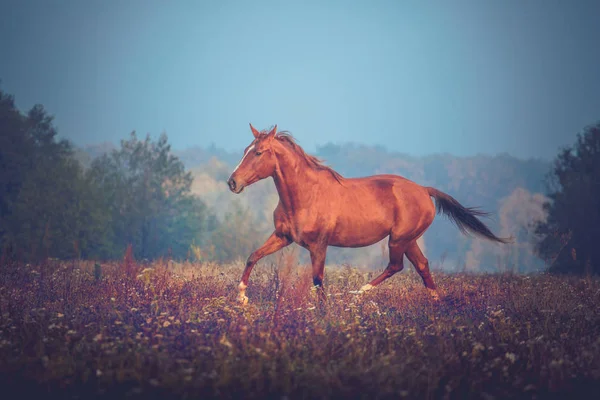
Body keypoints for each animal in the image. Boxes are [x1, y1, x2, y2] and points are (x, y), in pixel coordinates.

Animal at [227, 124, 508, 304]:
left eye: (258, 152)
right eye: (245, 150)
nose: (232, 182)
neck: (305, 196)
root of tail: (424, 190)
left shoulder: (318, 246)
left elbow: (318, 281)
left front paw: (323, 311)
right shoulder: (282, 237)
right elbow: (253, 256)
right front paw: (241, 297)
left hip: (398, 239)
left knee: (396, 265)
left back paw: (356, 294)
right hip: (409, 240)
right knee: (422, 266)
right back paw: (435, 303)